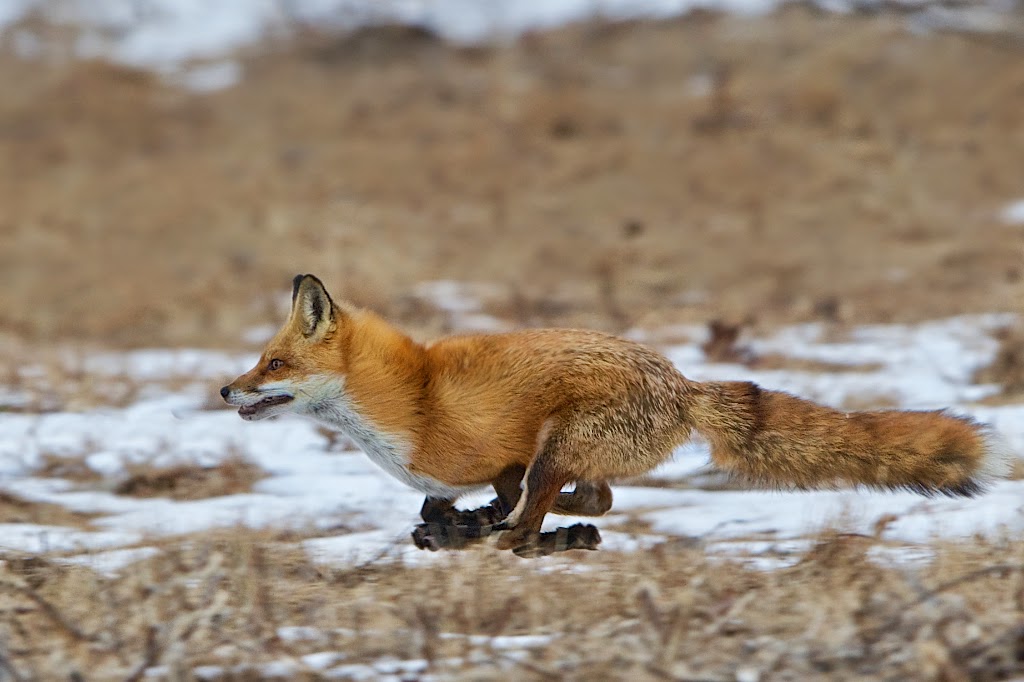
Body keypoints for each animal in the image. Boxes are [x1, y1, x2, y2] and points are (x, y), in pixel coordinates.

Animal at [222, 274, 1013, 557]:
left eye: (274, 365)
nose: (226, 392)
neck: (410, 402)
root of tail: (682, 383)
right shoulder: (507, 464)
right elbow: (487, 500)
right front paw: (461, 518)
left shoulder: (512, 456)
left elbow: (510, 509)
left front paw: (473, 526)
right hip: (566, 452)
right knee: (592, 498)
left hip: (561, 442)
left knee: (542, 520)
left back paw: (520, 534)